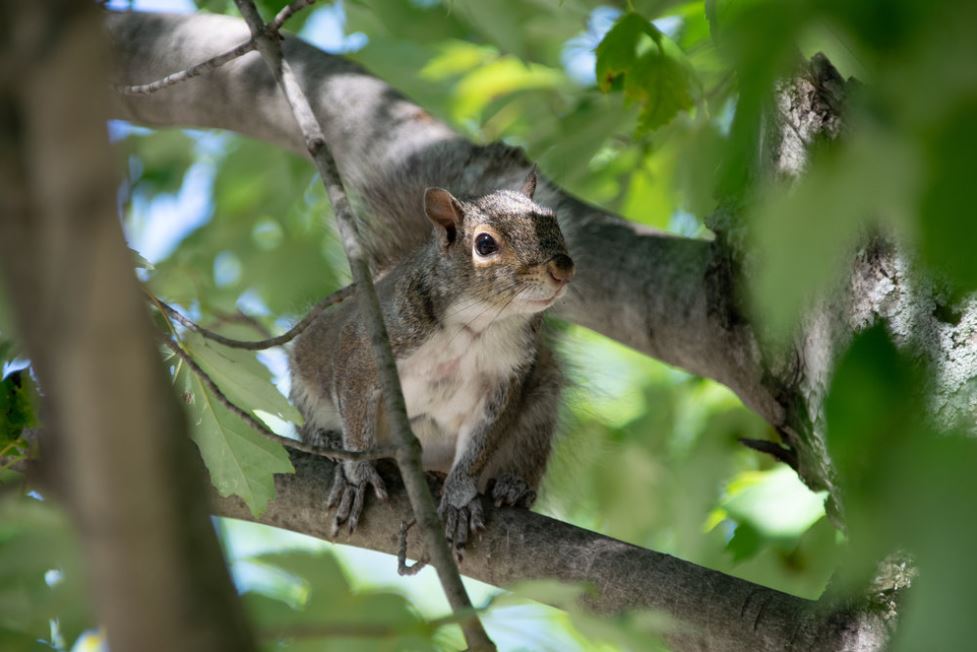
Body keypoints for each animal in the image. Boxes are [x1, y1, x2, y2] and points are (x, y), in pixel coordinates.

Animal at [289, 168, 574, 546]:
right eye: (485, 244)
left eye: (553, 221)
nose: (563, 268)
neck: (476, 325)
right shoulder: (365, 347)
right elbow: (355, 410)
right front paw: (357, 476)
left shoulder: (506, 379)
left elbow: (479, 446)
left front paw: (459, 497)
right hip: (306, 373)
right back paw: (326, 440)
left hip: (541, 405)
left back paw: (514, 485)